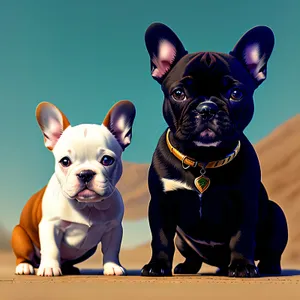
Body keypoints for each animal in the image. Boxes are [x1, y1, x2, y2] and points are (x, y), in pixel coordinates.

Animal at [142, 22, 290, 278]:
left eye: (236, 94)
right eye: (179, 93)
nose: (207, 108)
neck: (203, 159)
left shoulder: (245, 203)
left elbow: (241, 238)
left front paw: (242, 266)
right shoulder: (161, 203)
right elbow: (160, 238)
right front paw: (157, 265)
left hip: (277, 214)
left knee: (272, 251)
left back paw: (268, 267)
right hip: (183, 239)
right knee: (191, 254)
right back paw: (187, 267)